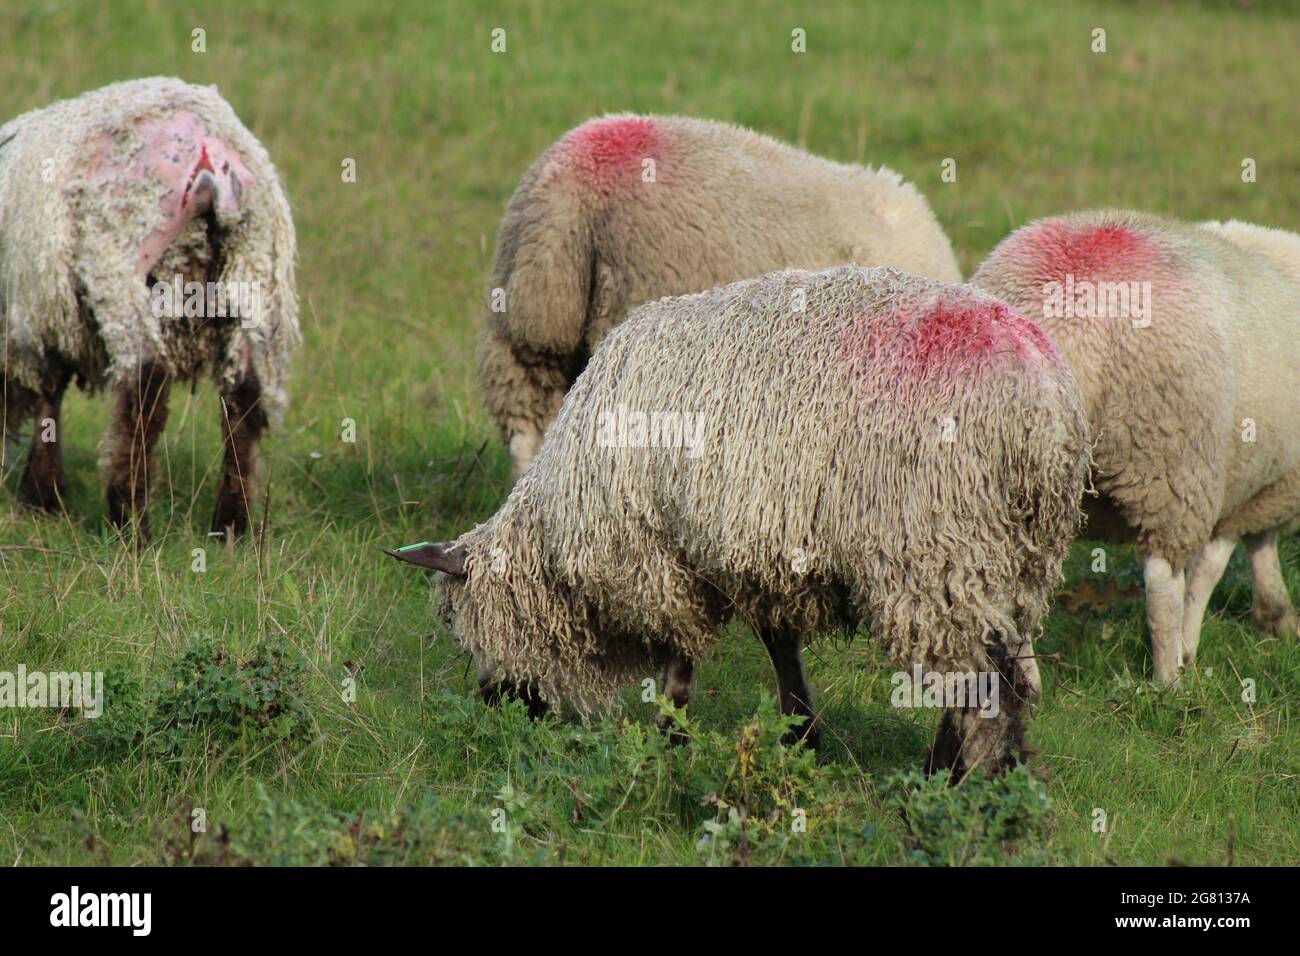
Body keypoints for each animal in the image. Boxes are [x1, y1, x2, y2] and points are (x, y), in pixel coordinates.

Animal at [0, 77, 298, 536]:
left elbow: (49, 398)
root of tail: (209, 147)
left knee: (146, 380)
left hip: (120, 259)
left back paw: (130, 517)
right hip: (254, 274)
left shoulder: (36, 326)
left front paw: (42, 494)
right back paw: (231, 524)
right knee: (244, 393)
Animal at [393, 266, 1088, 778]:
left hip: (933, 547)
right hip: (1011, 556)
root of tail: (1044, 403)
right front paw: (800, 736)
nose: (496, 709)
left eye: (464, 631)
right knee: (1004, 678)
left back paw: (951, 783)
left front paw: (669, 744)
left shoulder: (666, 555)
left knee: (979, 686)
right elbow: (780, 649)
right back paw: (988, 776)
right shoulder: (758, 554)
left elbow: (680, 663)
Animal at [971, 209, 1300, 685]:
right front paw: (1194, 646)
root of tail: (1070, 328)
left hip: (1006, 480)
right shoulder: (1245, 486)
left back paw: (1027, 683)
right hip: (1167, 463)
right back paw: (1169, 680)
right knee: (1162, 585)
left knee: (1011, 591)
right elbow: (1210, 568)